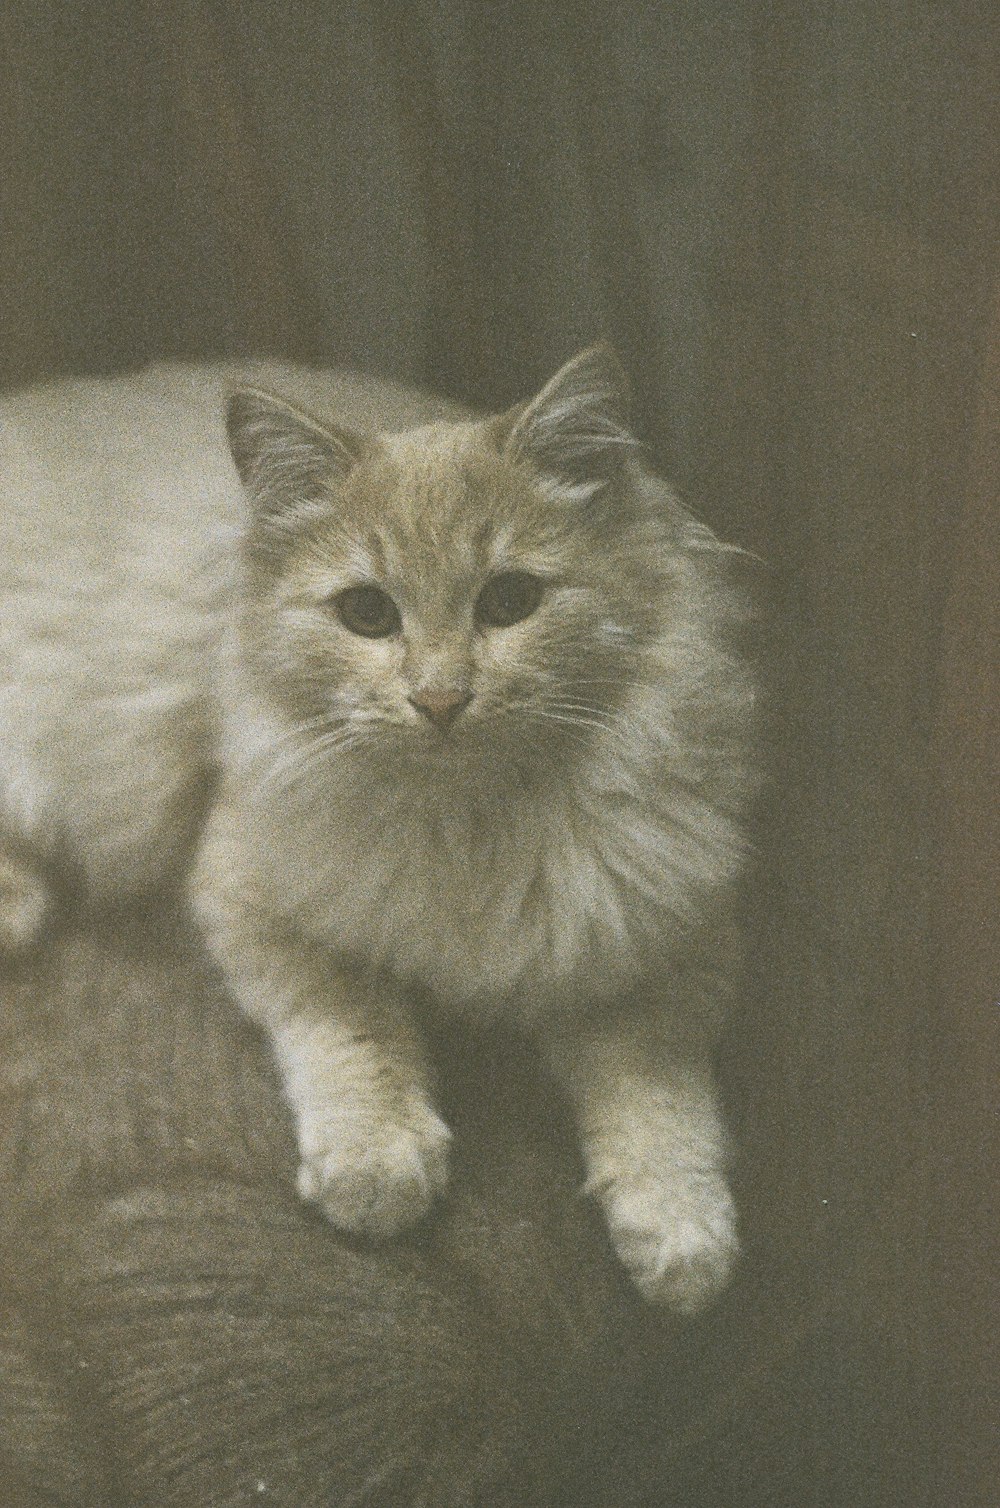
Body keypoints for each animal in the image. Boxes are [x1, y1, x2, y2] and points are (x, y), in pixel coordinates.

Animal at [0, 346, 760, 1314]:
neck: (474, 831)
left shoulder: (663, 941)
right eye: (366, 613)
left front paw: (683, 1243)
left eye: (510, 600)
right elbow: (354, 1028)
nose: (440, 700)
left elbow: (660, 1098)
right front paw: (379, 1165)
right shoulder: (254, 889)